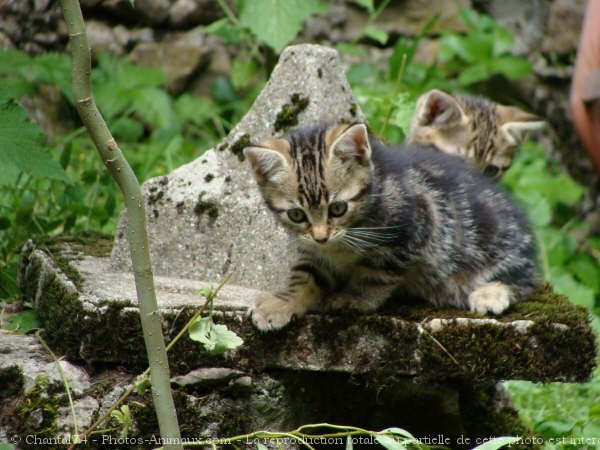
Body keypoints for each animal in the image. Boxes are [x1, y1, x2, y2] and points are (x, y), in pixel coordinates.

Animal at [244, 122, 540, 330]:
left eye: (338, 208)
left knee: (527, 281)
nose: (321, 236)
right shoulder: (312, 250)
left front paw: (352, 298)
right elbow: (305, 274)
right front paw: (282, 303)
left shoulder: (412, 231)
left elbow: (375, 274)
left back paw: (491, 293)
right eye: (297, 215)